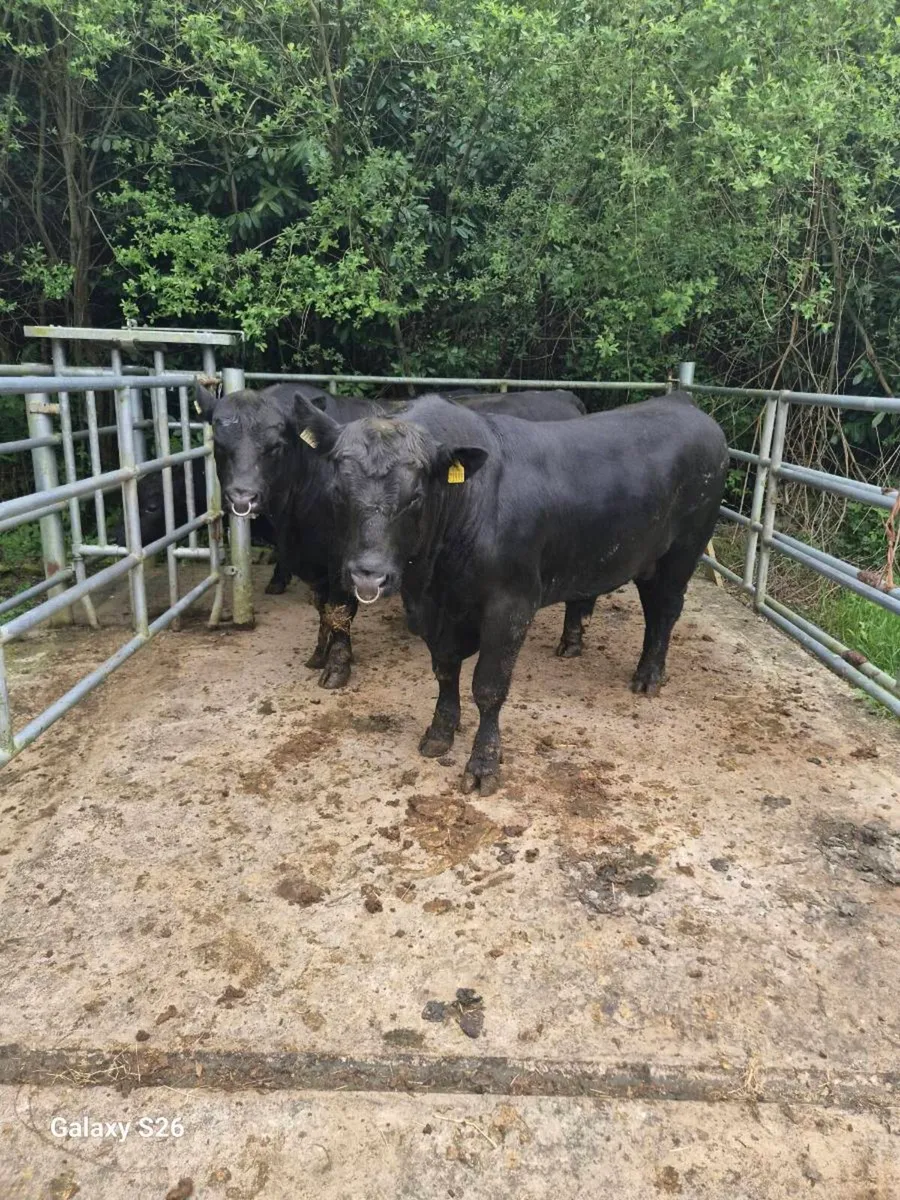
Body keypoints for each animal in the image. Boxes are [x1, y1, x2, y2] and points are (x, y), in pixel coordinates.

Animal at [294, 390, 728, 792]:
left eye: (415, 497)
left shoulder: (511, 607)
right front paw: (440, 732)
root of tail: (681, 400)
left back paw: (649, 675)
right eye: (339, 492)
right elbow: (445, 670)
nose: (369, 576)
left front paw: (483, 764)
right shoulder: (437, 613)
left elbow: (488, 687)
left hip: (682, 553)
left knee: (664, 611)